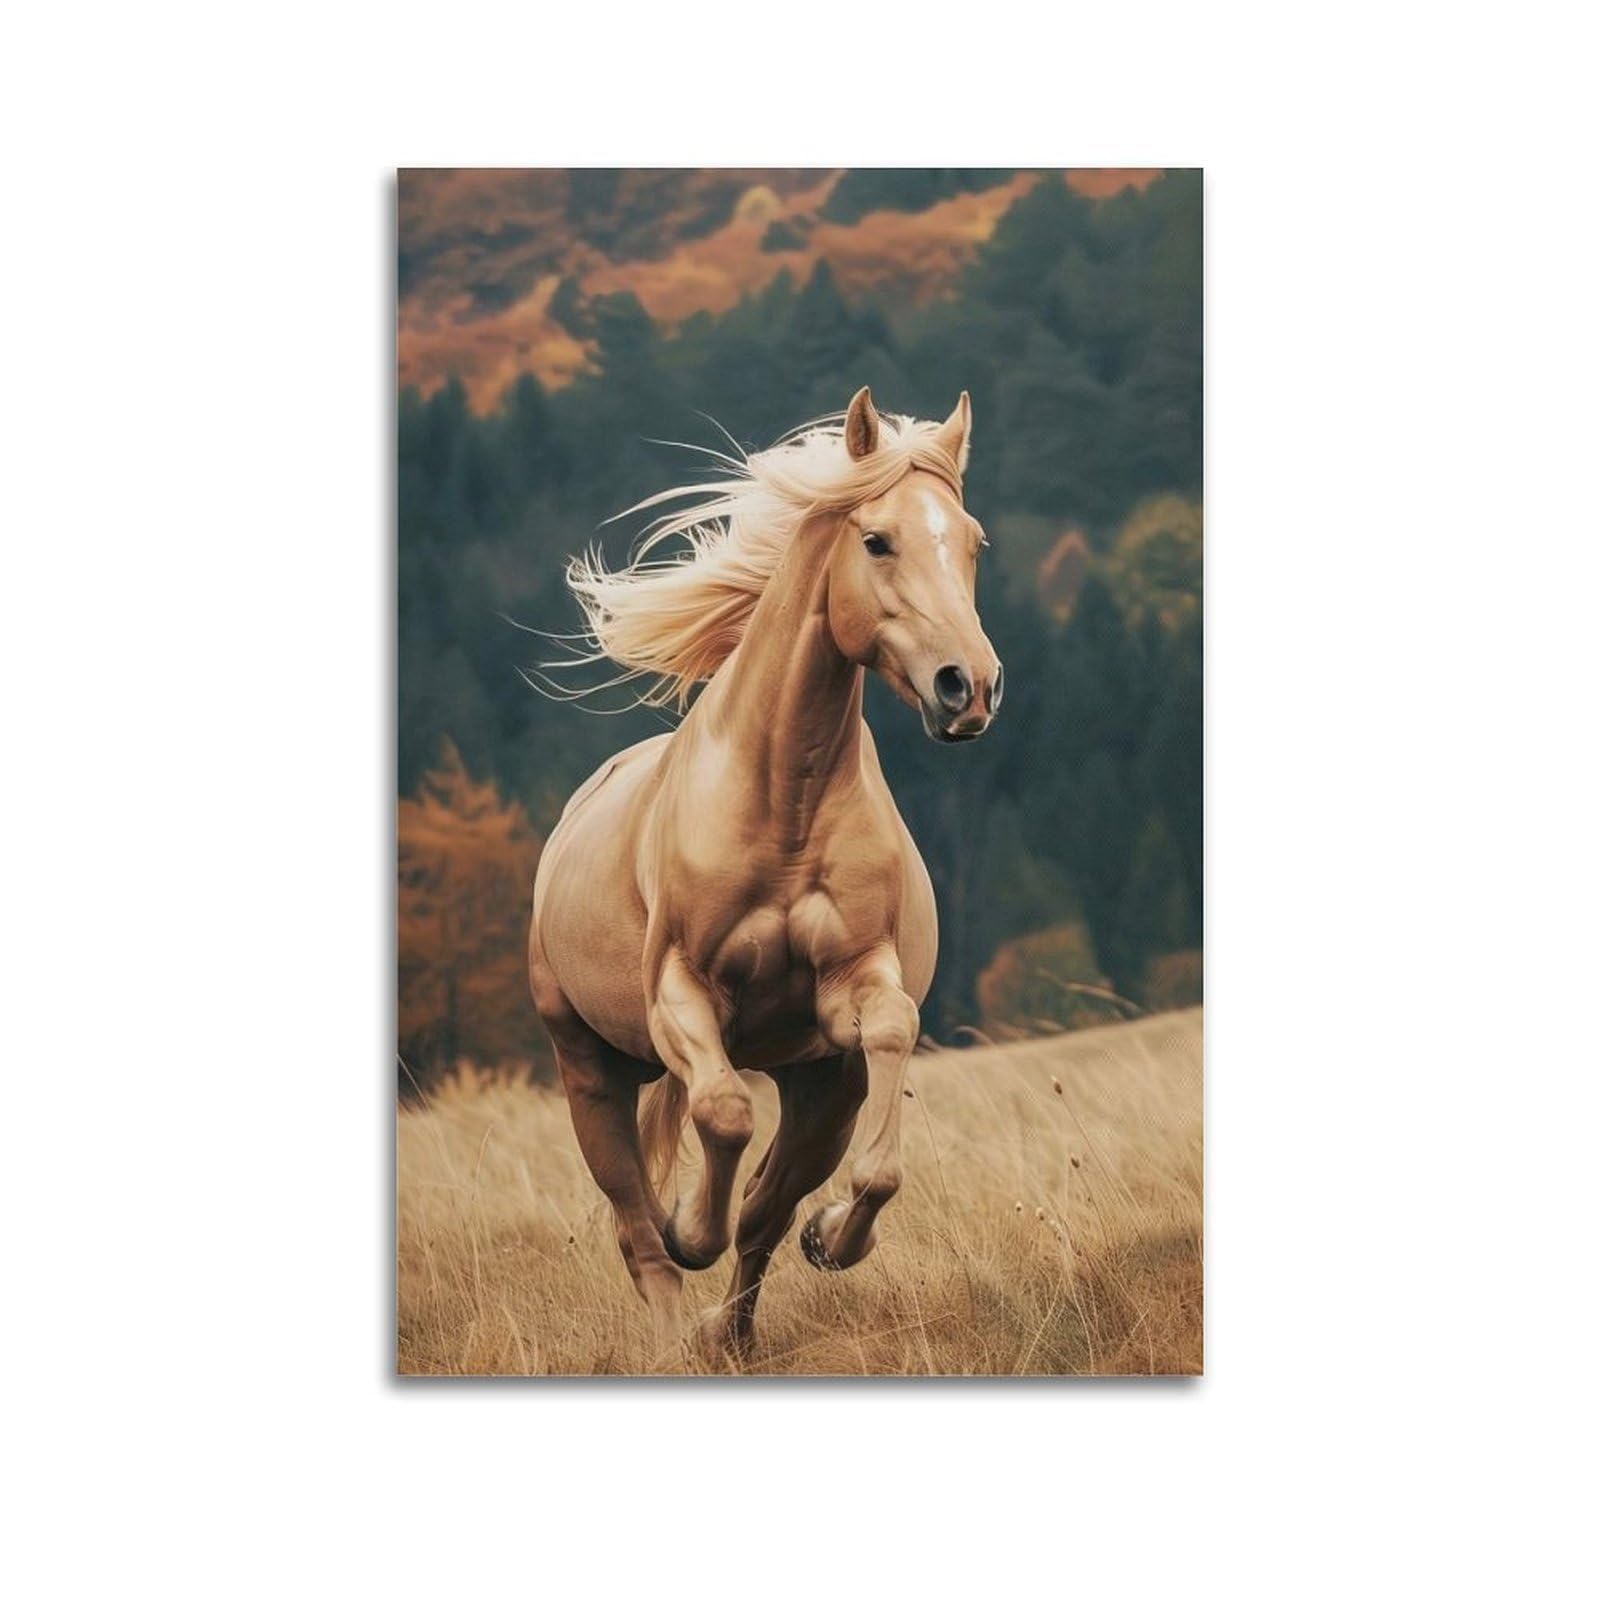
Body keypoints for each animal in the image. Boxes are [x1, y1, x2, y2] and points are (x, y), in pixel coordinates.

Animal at [528, 386, 1002, 1360]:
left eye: (973, 541)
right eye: (877, 540)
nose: (968, 688)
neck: (782, 803)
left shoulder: (853, 999)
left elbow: (880, 1084)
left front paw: (835, 1236)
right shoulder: (681, 993)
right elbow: (722, 1116)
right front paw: (689, 1222)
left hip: (820, 1087)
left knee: (766, 1213)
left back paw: (735, 1332)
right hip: (587, 1068)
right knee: (639, 1231)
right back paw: (676, 1323)